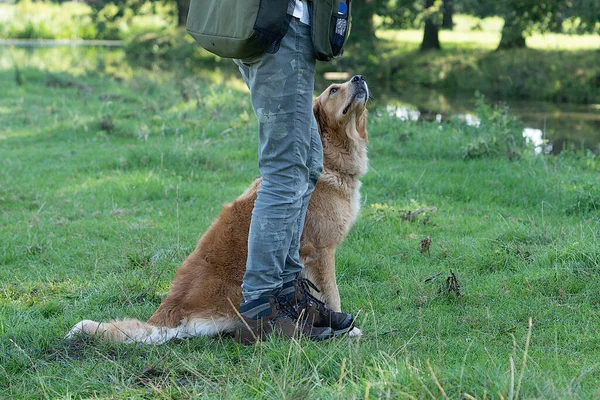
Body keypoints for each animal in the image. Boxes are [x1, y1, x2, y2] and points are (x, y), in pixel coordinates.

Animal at [68, 76, 368, 344]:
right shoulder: (321, 251)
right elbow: (332, 293)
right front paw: (348, 328)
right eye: (333, 89)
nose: (359, 78)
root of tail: (168, 314)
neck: (330, 159)